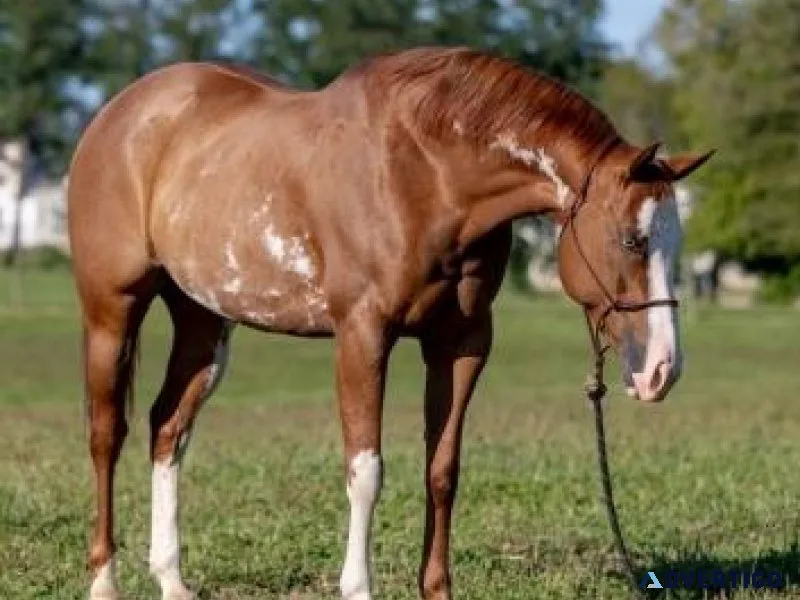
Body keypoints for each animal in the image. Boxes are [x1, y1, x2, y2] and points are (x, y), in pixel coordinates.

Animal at [67, 47, 712, 600]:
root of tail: (119, 113)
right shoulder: (362, 335)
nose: (663, 369)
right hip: (111, 312)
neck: (428, 174)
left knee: (168, 426)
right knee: (106, 434)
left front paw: (437, 587)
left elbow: (443, 469)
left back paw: (171, 578)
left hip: (204, 321)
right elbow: (366, 470)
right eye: (631, 240)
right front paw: (358, 585)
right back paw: (104, 579)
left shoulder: (462, 343)